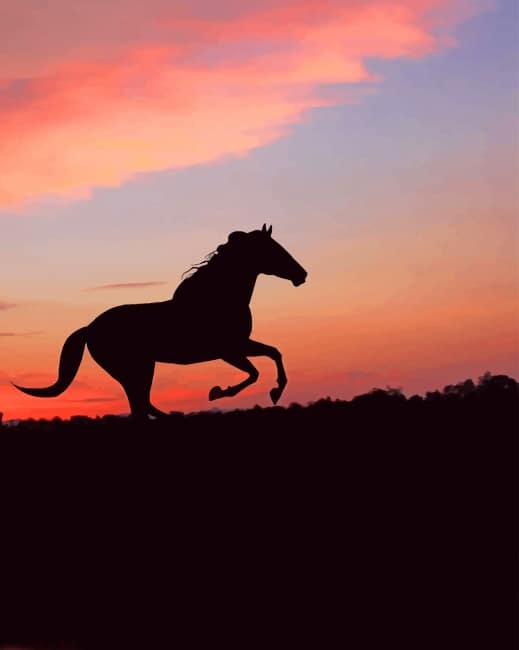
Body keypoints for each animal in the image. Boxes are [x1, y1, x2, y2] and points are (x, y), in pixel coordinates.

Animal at [13, 225, 307, 420]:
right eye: (274, 250)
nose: (301, 275)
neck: (218, 298)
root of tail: (90, 328)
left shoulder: (239, 345)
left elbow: (274, 353)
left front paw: (275, 391)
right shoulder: (228, 350)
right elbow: (255, 372)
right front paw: (218, 392)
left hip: (140, 369)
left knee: (142, 406)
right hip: (135, 369)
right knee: (141, 406)